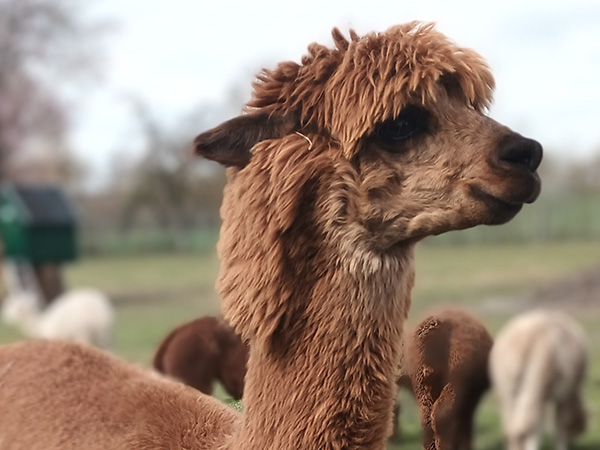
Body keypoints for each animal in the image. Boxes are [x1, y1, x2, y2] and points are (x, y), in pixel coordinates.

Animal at [488, 310, 584, 450]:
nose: (574, 443)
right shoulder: (562, 394)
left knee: (514, 426)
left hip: (507, 386)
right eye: (577, 430)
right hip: (538, 382)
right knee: (529, 422)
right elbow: (559, 423)